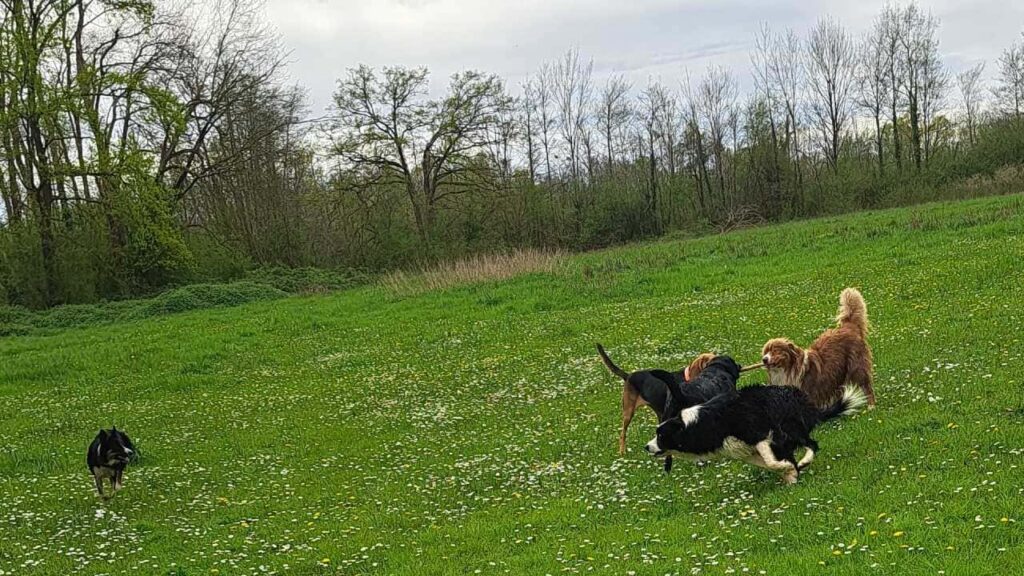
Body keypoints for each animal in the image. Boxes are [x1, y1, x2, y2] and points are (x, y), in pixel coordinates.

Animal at [647, 381, 864, 483]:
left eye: (661, 435)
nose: (646, 447)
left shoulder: (759, 434)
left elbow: (771, 461)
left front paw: (789, 470)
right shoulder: (745, 450)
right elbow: (767, 464)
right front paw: (790, 473)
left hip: (790, 428)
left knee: (812, 444)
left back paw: (803, 461)